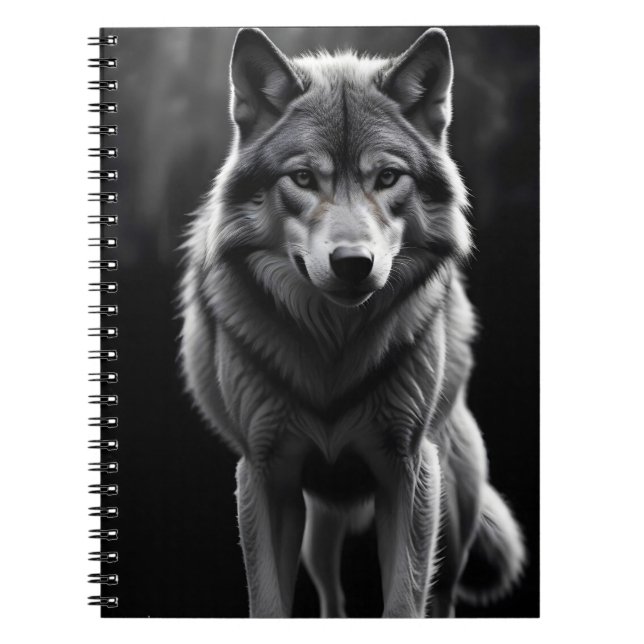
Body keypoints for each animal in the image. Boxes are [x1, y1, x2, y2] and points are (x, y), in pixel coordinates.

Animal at [179, 27, 525, 618]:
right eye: (302, 177)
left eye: (387, 177)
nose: (352, 263)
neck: (333, 349)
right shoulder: (266, 474)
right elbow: (269, 603)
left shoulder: (407, 470)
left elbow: (405, 603)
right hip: (320, 520)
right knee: (329, 588)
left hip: (453, 510)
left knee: (444, 595)